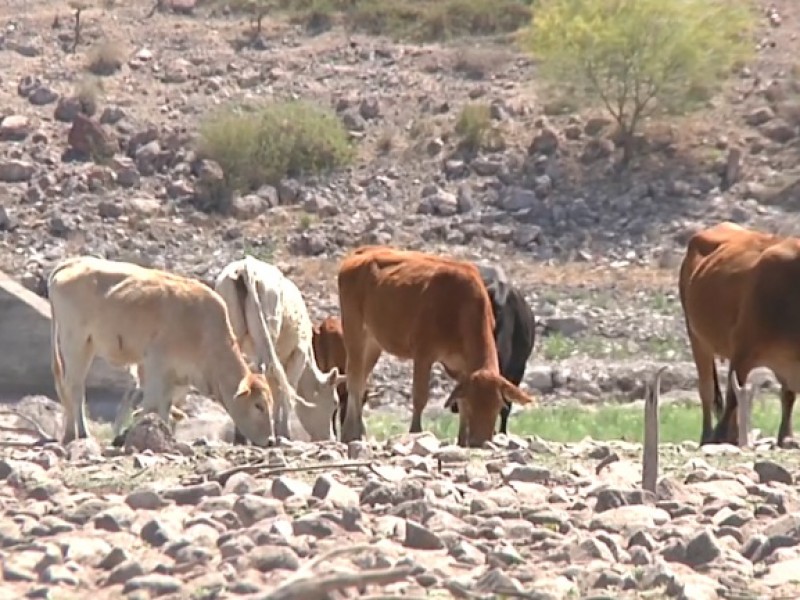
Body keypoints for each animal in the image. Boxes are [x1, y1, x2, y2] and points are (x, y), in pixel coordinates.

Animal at [48, 253, 278, 446]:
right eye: (258, 405)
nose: (271, 440)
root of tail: (73, 262)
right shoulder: (155, 364)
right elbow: (151, 404)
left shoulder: (175, 375)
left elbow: (165, 406)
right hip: (75, 342)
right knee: (74, 387)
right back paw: (78, 434)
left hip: (85, 345)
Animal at [214, 253, 346, 440]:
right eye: (334, 403)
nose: (331, 438)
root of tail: (245, 267)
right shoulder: (298, 353)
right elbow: (286, 389)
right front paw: (282, 432)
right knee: (264, 371)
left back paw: (240, 435)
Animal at [680, 223, 796, 448]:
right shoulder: (743, 349)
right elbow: (732, 396)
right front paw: (718, 436)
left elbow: (788, 396)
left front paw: (786, 438)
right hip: (696, 337)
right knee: (707, 390)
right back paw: (708, 435)